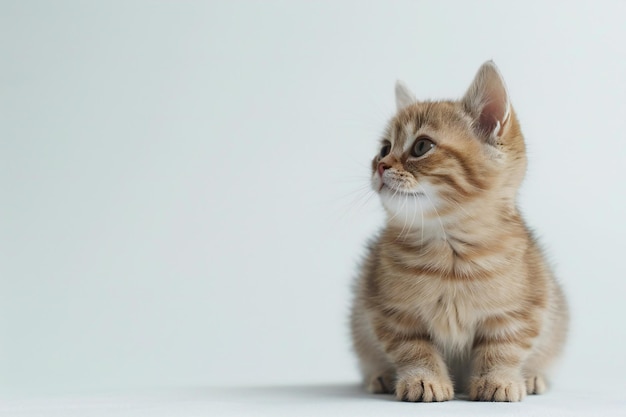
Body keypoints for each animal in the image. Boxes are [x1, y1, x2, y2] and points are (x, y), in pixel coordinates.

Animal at [348, 60, 568, 402]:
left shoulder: (522, 310)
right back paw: (381, 376)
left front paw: (498, 380)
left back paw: (532, 377)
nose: (380, 166)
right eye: (384, 148)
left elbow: (503, 347)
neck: (449, 249)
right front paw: (422, 379)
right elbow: (413, 348)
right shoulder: (389, 311)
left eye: (421, 146)